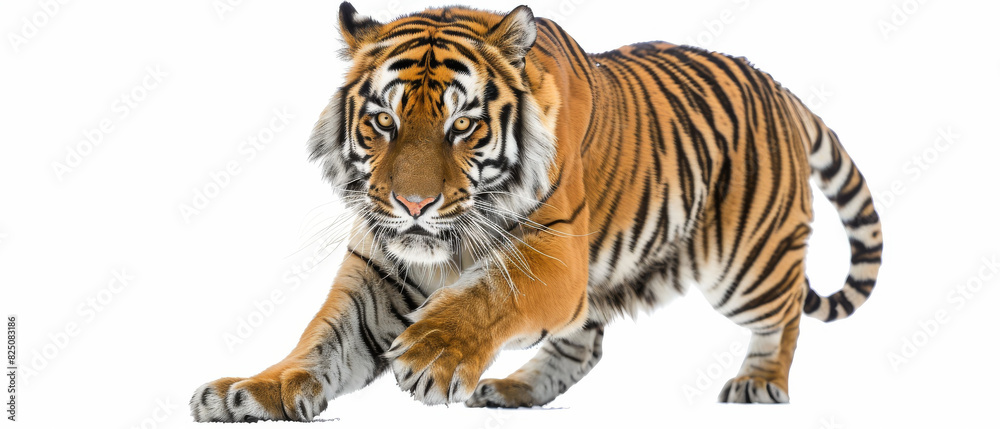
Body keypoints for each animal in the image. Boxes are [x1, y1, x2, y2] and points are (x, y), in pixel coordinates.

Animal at [190, 2, 882, 421]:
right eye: (384, 122)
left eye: (462, 125)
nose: (413, 204)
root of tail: (778, 86)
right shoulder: (375, 269)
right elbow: (320, 340)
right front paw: (252, 391)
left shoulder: (552, 254)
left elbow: (488, 294)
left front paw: (433, 356)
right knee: (583, 344)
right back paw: (513, 390)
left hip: (745, 265)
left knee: (784, 314)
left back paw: (759, 383)